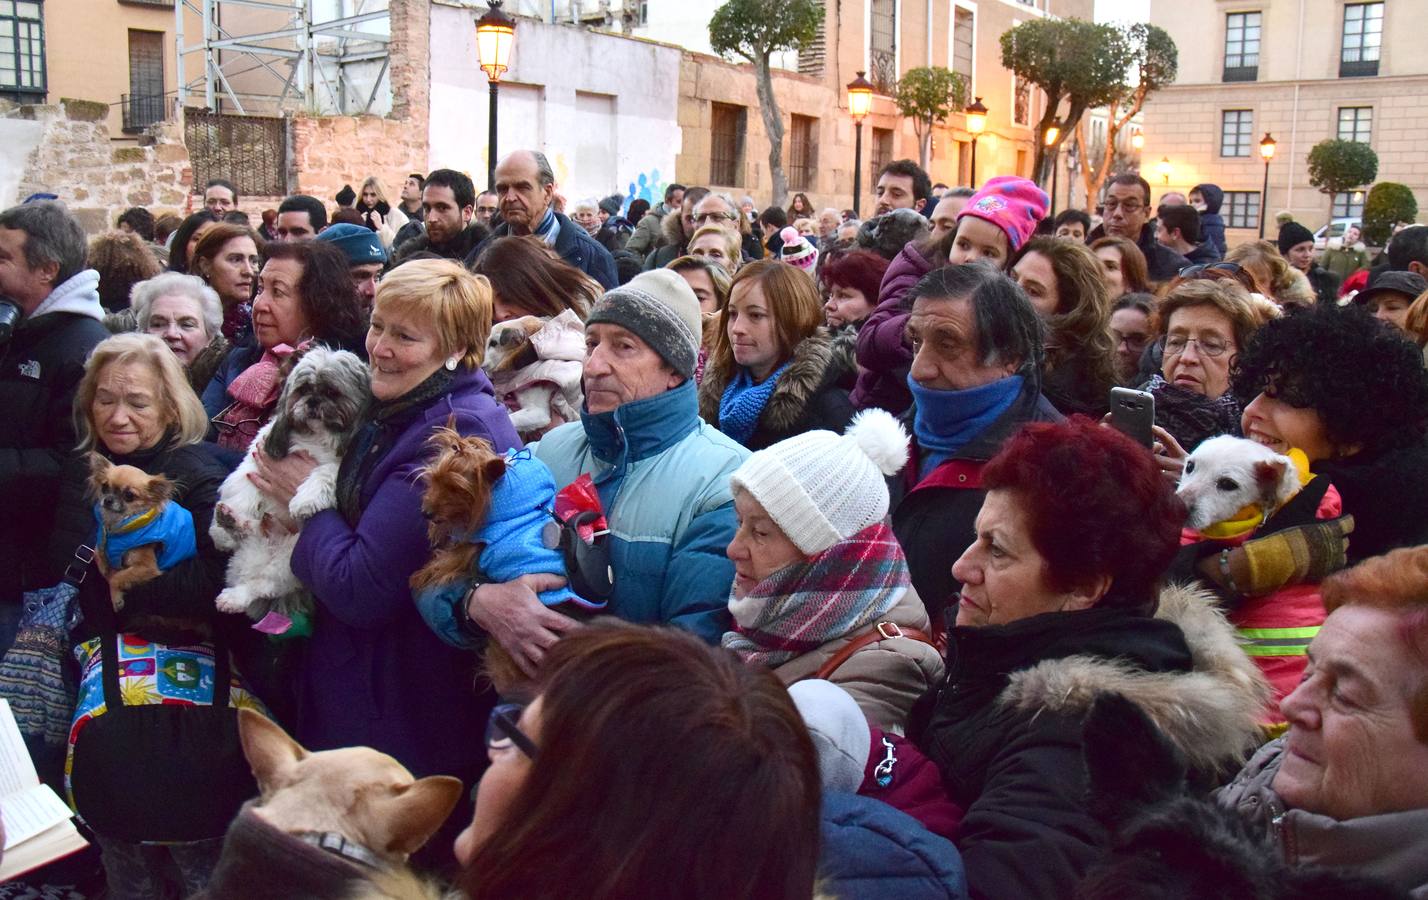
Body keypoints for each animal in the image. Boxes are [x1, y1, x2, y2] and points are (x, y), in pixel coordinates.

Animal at [209, 345, 371, 628]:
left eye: (332, 392)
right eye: (304, 389)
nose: (313, 402)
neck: (315, 438)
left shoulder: (338, 465)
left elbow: (324, 475)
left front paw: (305, 502)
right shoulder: (257, 458)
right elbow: (244, 489)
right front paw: (222, 529)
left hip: (288, 564)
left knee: (259, 586)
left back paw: (235, 597)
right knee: (246, 533)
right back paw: (231, 522)